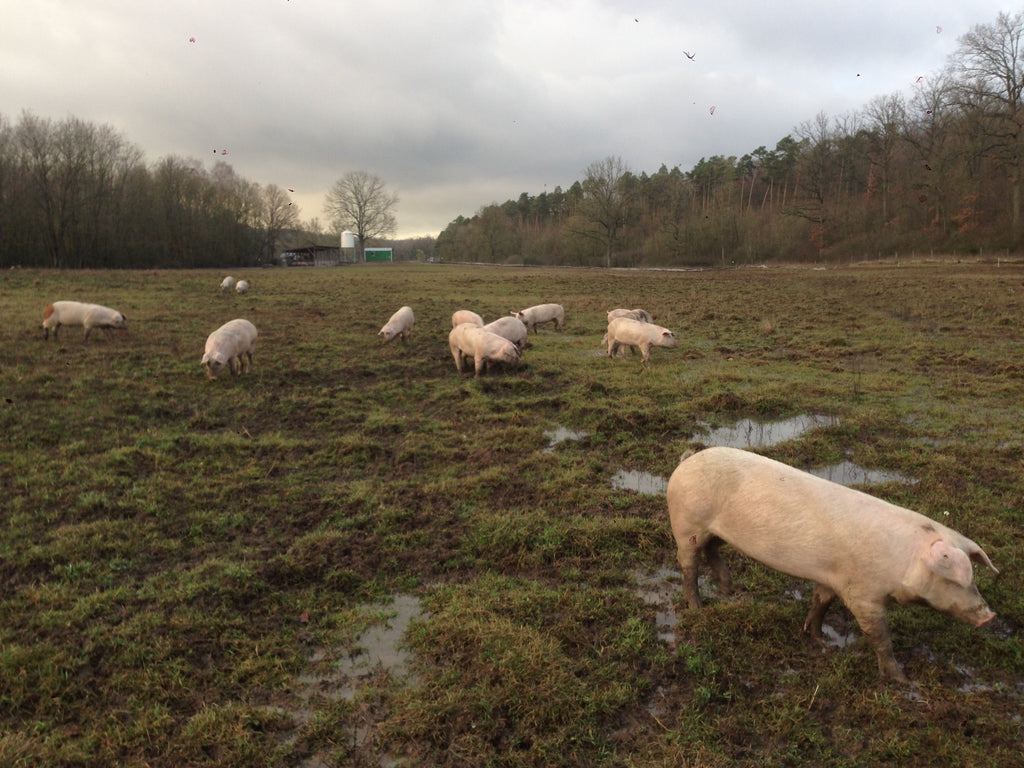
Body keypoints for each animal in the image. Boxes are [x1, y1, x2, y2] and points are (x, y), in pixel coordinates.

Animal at [667, 448, 995, 684]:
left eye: (974, 578)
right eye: (955, 579)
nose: (989, 616)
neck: (902, 562)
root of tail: (687, 460)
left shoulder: (831, 577)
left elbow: (820, 603)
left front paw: (819, 638)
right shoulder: (863, 594)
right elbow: (880, 637)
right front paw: (902, 681)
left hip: (714, 532)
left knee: (711, 551)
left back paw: (729, 591)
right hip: (686, 524)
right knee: (688, 565)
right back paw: (697, 607)